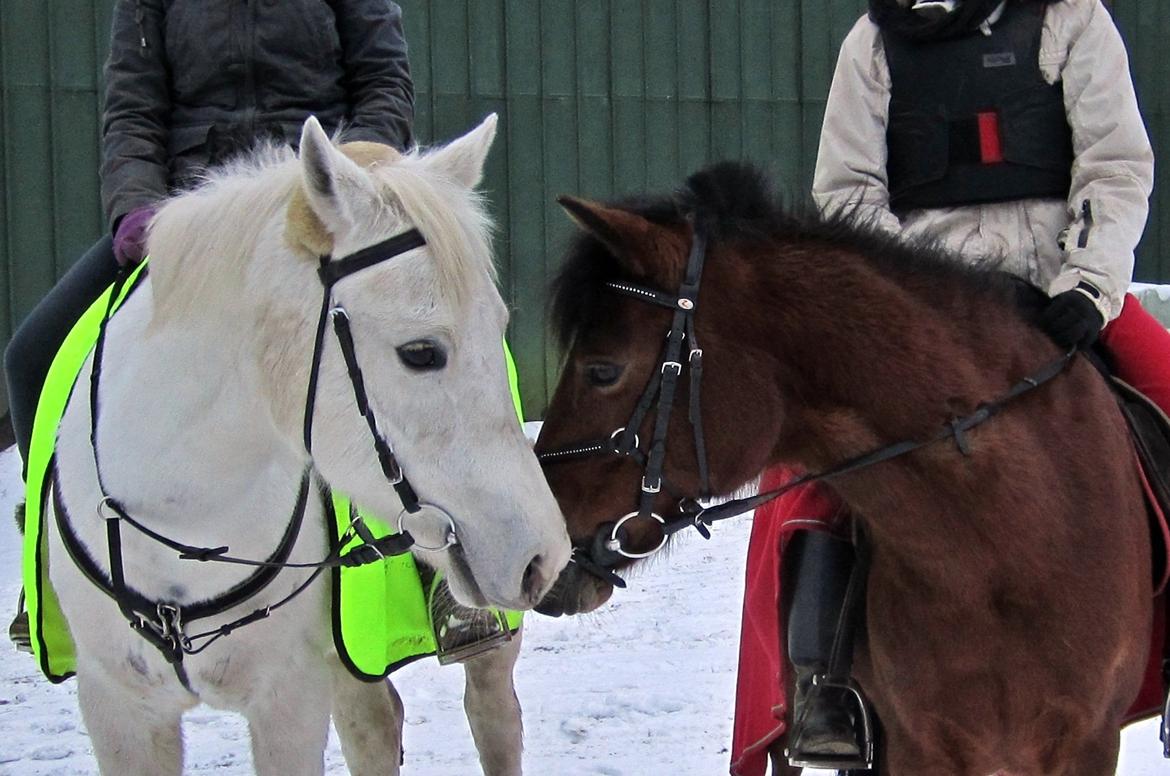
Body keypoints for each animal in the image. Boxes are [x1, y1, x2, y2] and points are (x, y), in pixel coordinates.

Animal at [44, 117, 570, 776]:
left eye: (498, 329)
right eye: (420, 352)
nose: (545, 555)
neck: (181, 531)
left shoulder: (288, 700)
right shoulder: (118, 709)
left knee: (493, 719)